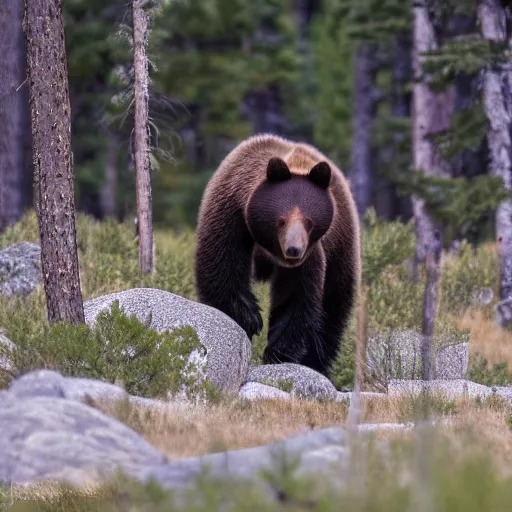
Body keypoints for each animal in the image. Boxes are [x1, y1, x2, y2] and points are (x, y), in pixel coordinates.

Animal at [195, 134, 360, 378]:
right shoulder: (231, 213)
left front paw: (277, 352)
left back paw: (316, 363)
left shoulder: (310, 256)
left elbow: (295, 296)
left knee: (332, 310)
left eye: (309, 222)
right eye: (281, 220)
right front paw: (249, 319)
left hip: (341, 250)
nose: (293, 250)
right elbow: (223, 268)